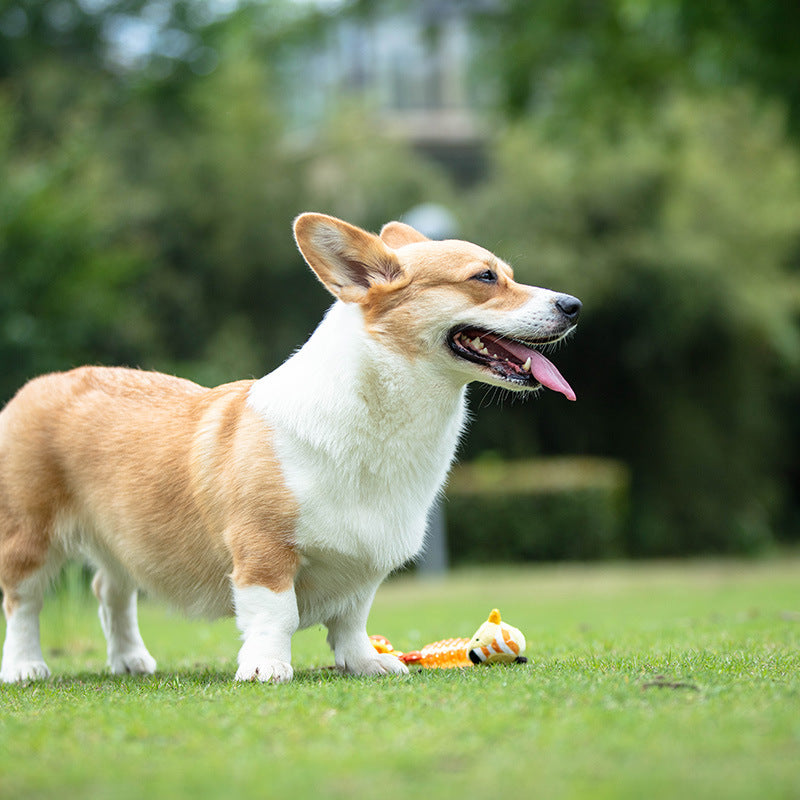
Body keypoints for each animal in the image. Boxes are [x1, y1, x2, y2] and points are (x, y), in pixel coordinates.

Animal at [0, 216, 580, 684]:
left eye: (506, 273)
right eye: (484, 278)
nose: (573, 305)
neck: (379, 418)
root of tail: (39, 385)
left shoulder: (364, 561)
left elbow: (353, 618)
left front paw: (366, 662)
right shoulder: (263, 550)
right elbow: (274, 614)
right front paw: (266, 667)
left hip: (121, 536)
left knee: (110, 590)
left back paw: (129, 659)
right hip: (28, 537)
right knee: (24, 602)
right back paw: (26, 666)